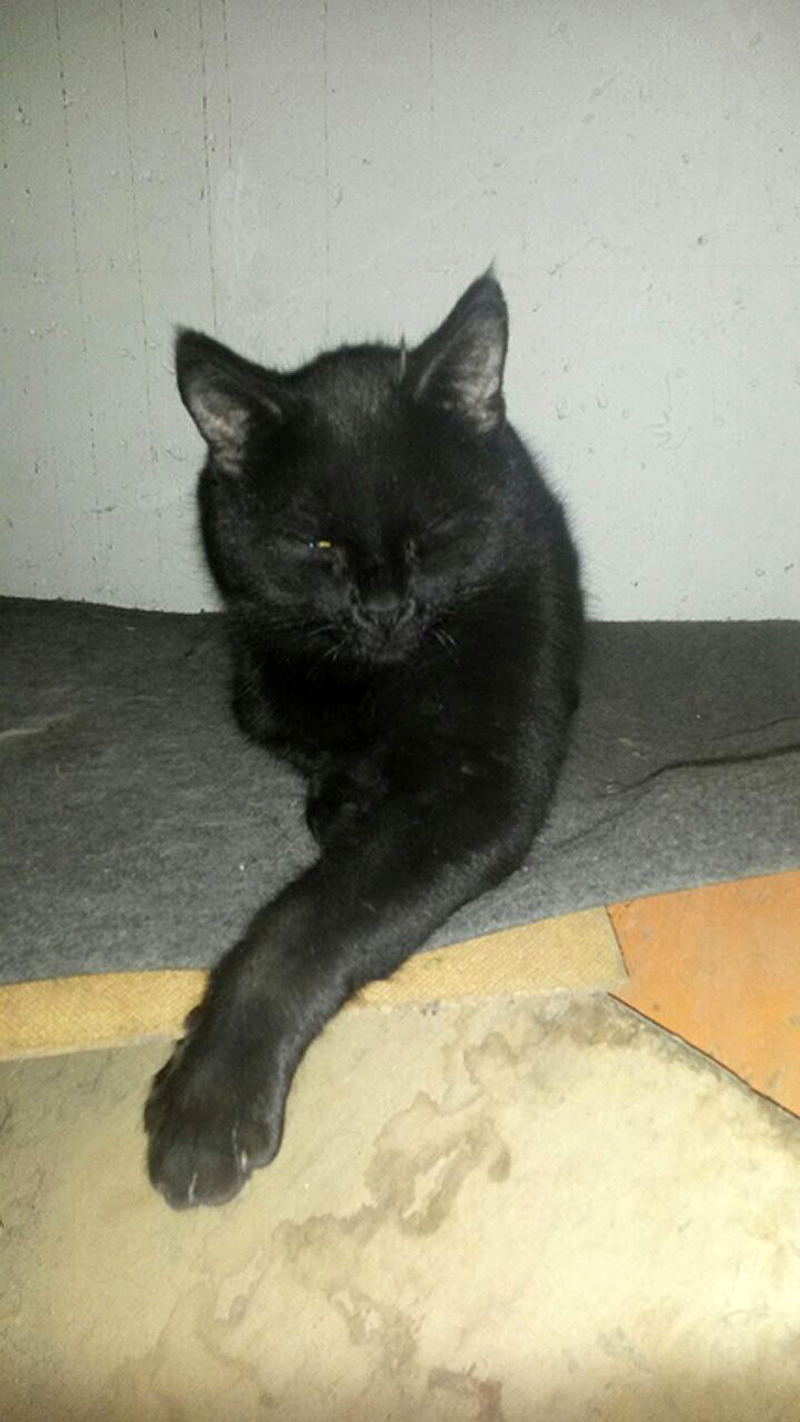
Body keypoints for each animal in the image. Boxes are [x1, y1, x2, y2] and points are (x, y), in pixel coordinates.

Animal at [145, 272, 584, 1208]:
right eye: (317, 544)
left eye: (433, 534)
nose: (383, 609)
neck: (376, 682)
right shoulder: (266, 685)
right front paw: (340, 798)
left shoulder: (483, 781)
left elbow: (304, 922)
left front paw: (209, 1096)